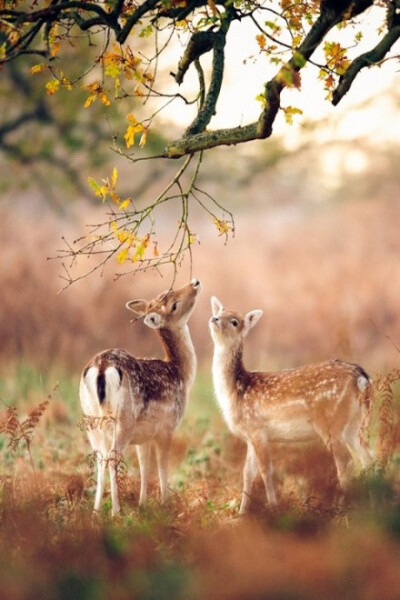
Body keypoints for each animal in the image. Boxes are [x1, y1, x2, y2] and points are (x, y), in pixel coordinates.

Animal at [79, 278, 202, 512]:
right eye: (173, 305)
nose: (195, 282)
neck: (180, 372)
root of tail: (101, 367)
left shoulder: (143, 437)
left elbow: (144, 467)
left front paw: (143, 504)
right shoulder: (167, 427)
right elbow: (162, 467)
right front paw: (165, 504)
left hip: (91, 420)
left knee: (100, 457)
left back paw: (96, 511)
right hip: (123, 419)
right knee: (112, 457)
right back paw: (116, 511)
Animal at [208, 298, 374, 512]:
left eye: (235, 321)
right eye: (219, 311)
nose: (214, 319)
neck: (235, 391)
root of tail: (362, 378)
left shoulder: (257, 428)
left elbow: (266, 471)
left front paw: (273, 508)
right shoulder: (249, 435)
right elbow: (247, 474)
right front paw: (242, 512)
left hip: (330, 422)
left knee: (346, 462)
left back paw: (341, 507)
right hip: (354, 424)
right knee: (367, 456)